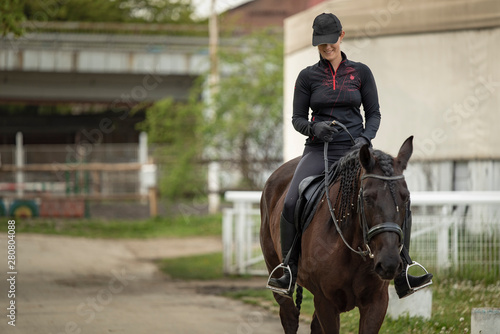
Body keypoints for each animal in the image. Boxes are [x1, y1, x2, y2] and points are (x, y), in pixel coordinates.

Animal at [258, 137, 414, 332]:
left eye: (406, 197)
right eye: (367, 197)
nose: (389, 263)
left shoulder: (377, 302)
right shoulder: (326, 302)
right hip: (275, 270)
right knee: (289, 317)